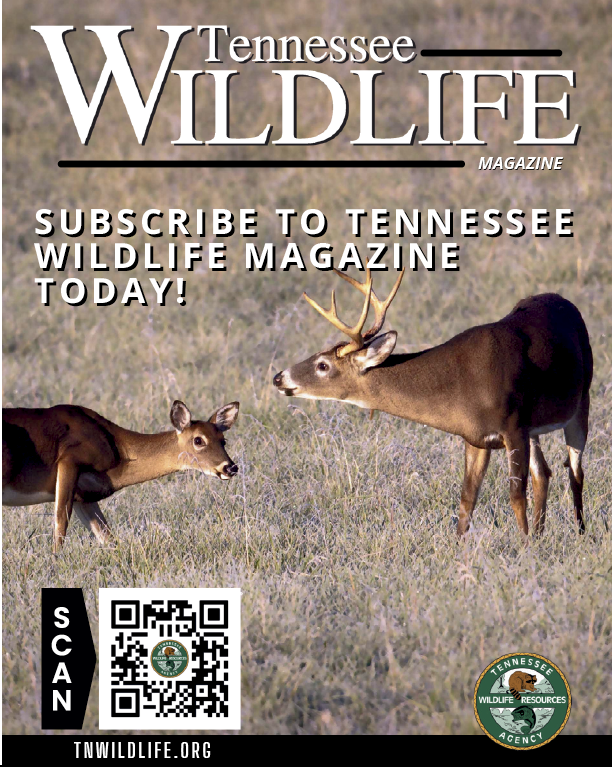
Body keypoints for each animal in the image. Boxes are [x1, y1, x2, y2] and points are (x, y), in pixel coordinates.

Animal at [2, 399, 240, 552]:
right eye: (198, 440)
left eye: (223, 440)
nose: (230, 467)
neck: (119, 449)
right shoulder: (70, 459)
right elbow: (61, 522)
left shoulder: (84, 496)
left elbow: (106, 536)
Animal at [273, 268, 593, 539]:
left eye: (322, 365)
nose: (279, 377)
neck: (461, 386)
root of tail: (565, 301)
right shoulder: (475, 437)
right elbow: (467, 498)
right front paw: (460, 551)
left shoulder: (513, 426)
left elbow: (515, 493)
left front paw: (523, 547)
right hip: (535, 429)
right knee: (544, 473)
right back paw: (541, 535)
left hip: (582, 399)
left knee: (575, 471)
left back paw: (579, 533)